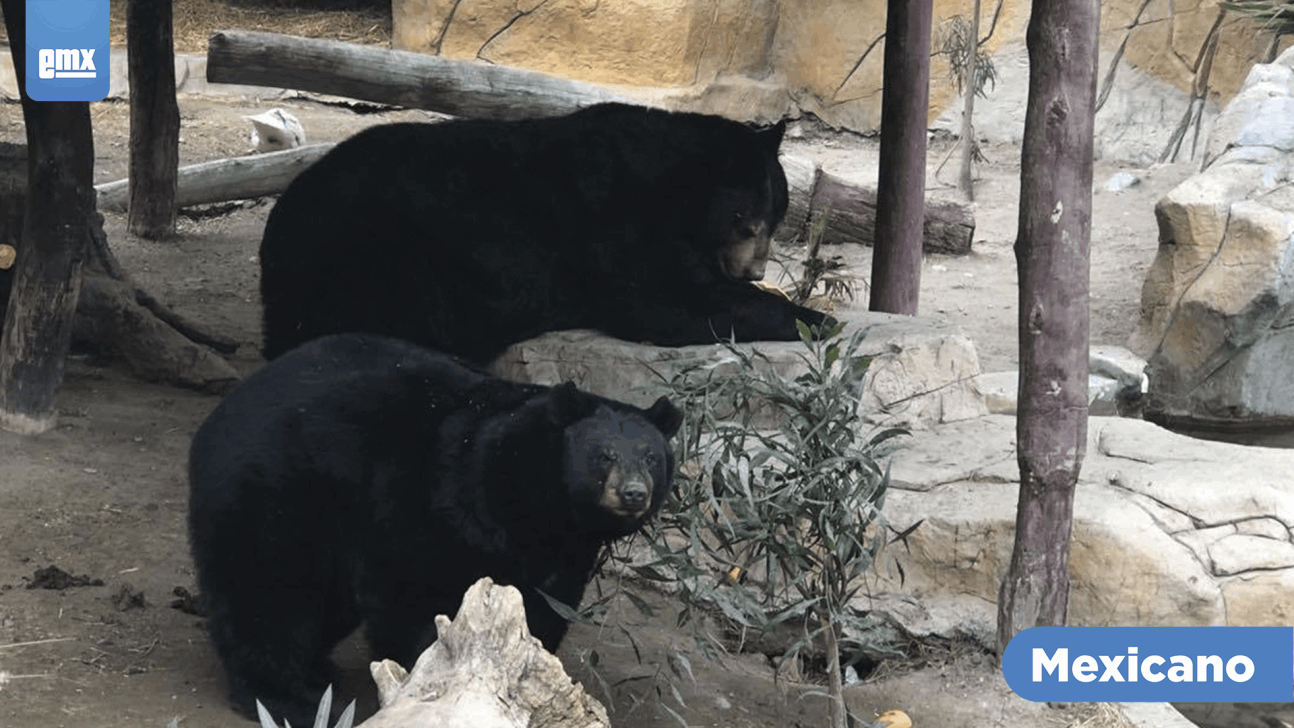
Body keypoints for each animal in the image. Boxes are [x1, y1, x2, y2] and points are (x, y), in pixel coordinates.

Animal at [186, 333, 682, 726]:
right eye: (604, 456)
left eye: (651, 457)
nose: (634, 494)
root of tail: (222, 413)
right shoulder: (433, 497)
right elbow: (411, 591)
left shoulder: (563, 552)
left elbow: (545, 606)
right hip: (277, 485)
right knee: (269, 590)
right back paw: (285, 699)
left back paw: (317, 668)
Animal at [258, 102, 832, 364]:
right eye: (745, 219)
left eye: (775, 218)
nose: (754, 268)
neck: (675, 189)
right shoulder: (616, 223)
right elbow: (662, 301)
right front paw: (815, 318)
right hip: (373, 255)